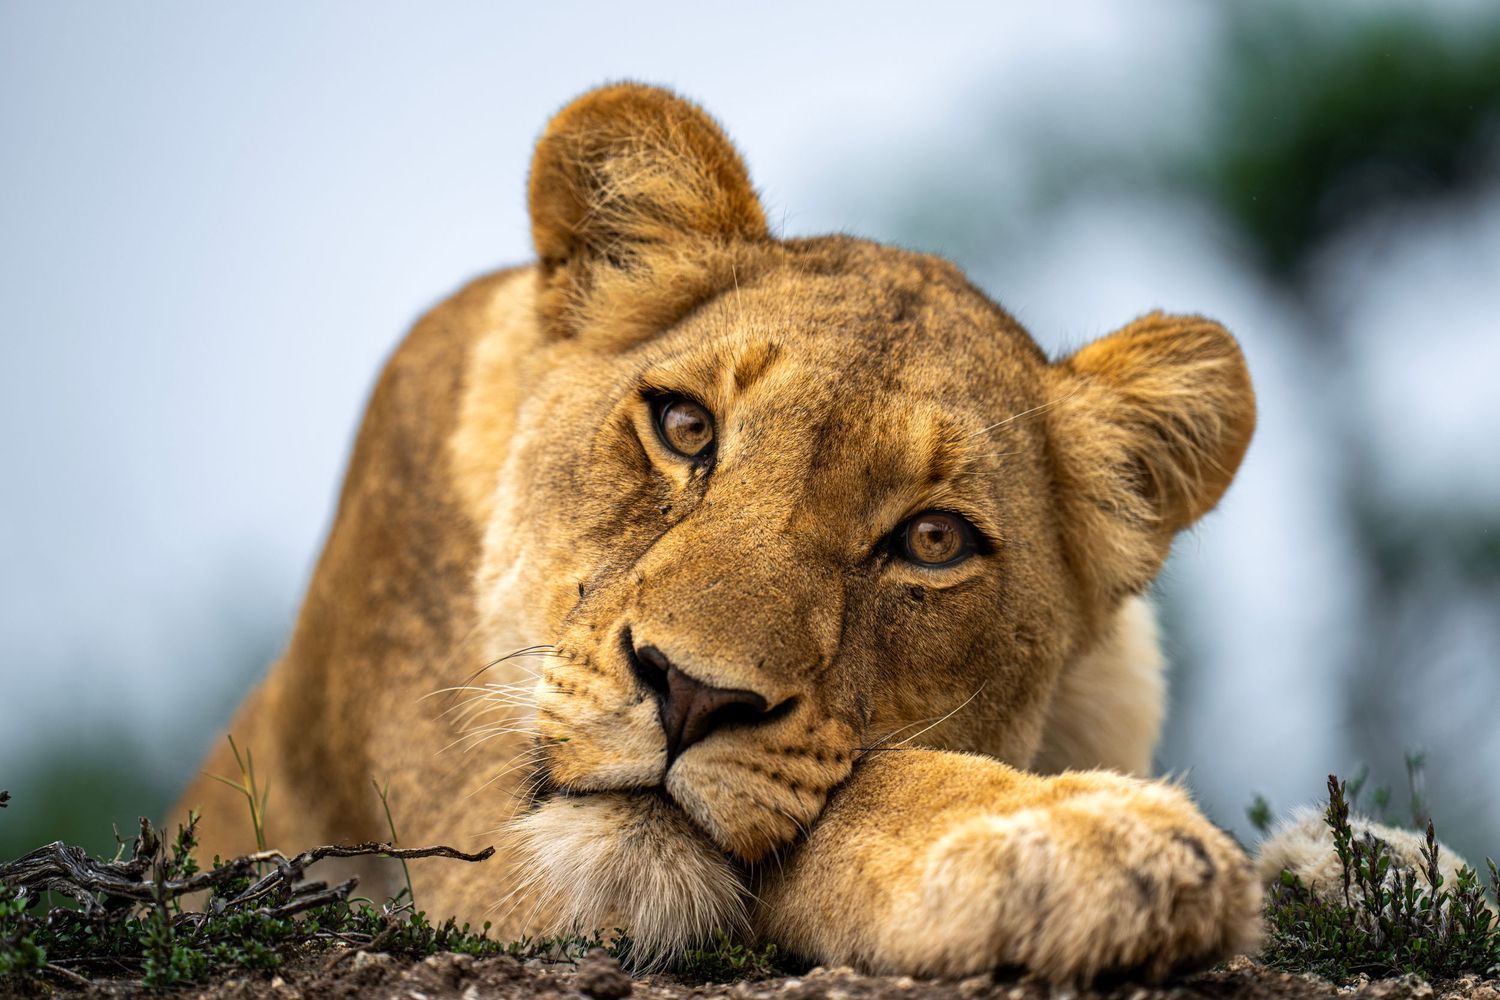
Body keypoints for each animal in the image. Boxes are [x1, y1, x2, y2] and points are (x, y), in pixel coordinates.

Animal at [173, 83, 1271, 985]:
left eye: (933, 541)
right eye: (685, 427)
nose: (692, 694)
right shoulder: (474, 833)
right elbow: (846, 800)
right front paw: (1080, 832)